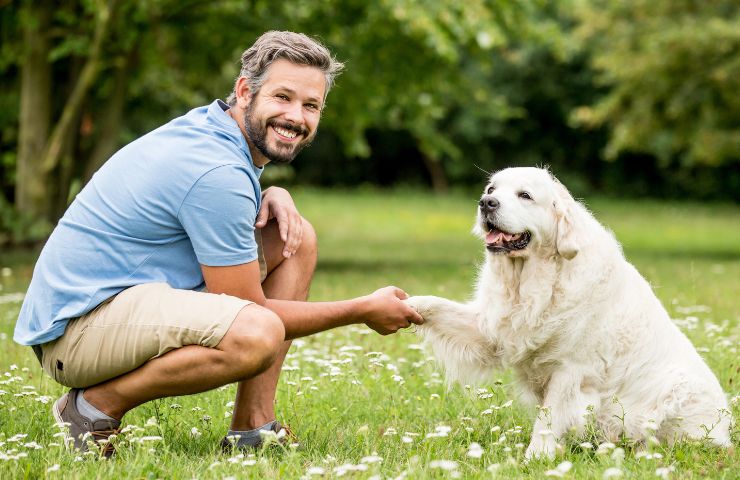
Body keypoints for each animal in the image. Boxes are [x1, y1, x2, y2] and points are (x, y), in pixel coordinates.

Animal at [408, 168, 732, 458]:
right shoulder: (493, 329)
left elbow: (548, 419)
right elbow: (436, 306)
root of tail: (726, 431)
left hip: (676, 392)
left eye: (524, 195)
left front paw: (535, 457)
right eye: (491, 189)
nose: (486, 203)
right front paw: (407, 304)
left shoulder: (571, 369)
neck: (534, 281)